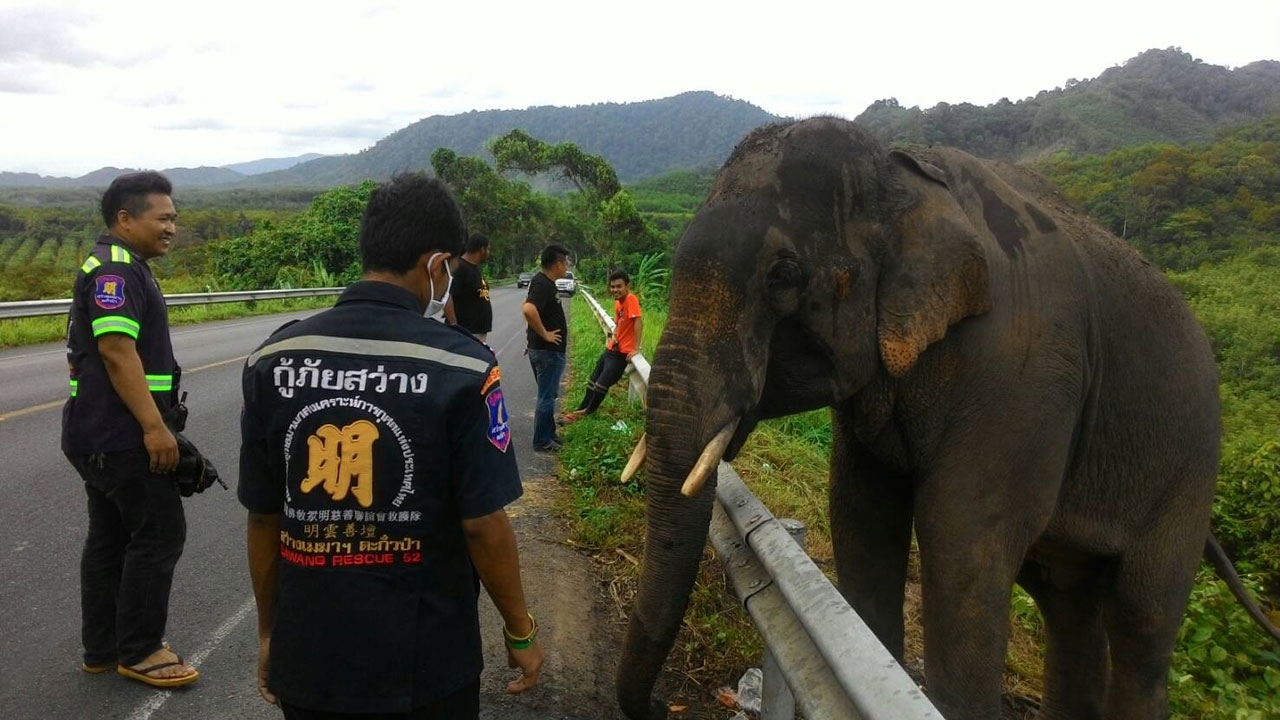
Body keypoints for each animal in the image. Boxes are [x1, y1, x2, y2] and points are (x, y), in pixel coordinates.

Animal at [611, 117, 1280, 717]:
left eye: (783, 275)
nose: (660, 707)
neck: (902, 171)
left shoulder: (1023, 368)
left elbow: (962, 531)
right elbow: (861, 510)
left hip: (1188, 472)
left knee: (1143, 620)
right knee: (1068, 606)